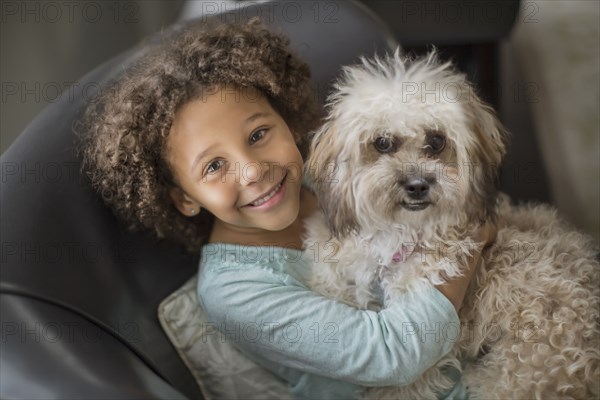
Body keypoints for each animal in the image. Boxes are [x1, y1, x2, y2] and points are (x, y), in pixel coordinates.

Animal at [304, 50, 600, 400]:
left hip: (516, 375)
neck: (400, 231)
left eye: (436, 141)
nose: (417, 185)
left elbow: (403, 384)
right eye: (382, 142)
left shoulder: (428, 334)